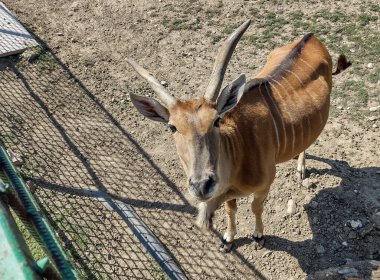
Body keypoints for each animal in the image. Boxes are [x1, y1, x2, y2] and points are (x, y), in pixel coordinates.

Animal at [127, 19, 350, 252]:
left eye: (216, 120)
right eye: (172, 127)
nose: (201, 185)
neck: (240, 147)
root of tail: (311, 36)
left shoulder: (264, 186)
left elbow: (256, 207)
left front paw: (258, 236)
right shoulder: (227, 193)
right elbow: (230, 210)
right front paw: (228, 239)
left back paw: (301, 168)